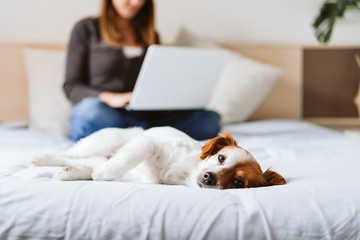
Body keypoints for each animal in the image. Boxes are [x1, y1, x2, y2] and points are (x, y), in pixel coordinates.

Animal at [33, 126, 286, 190]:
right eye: (221, 157)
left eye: (238, 182)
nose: (208, 177)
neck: (185, 173)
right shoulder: (150, 143)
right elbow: (131, 156)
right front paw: (105, 173)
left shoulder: (145, 178)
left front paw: (89, 173)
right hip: (102, 142)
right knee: (66, 154)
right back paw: (40, 158)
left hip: (97, 154)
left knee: (82, 161)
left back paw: (70, 172)